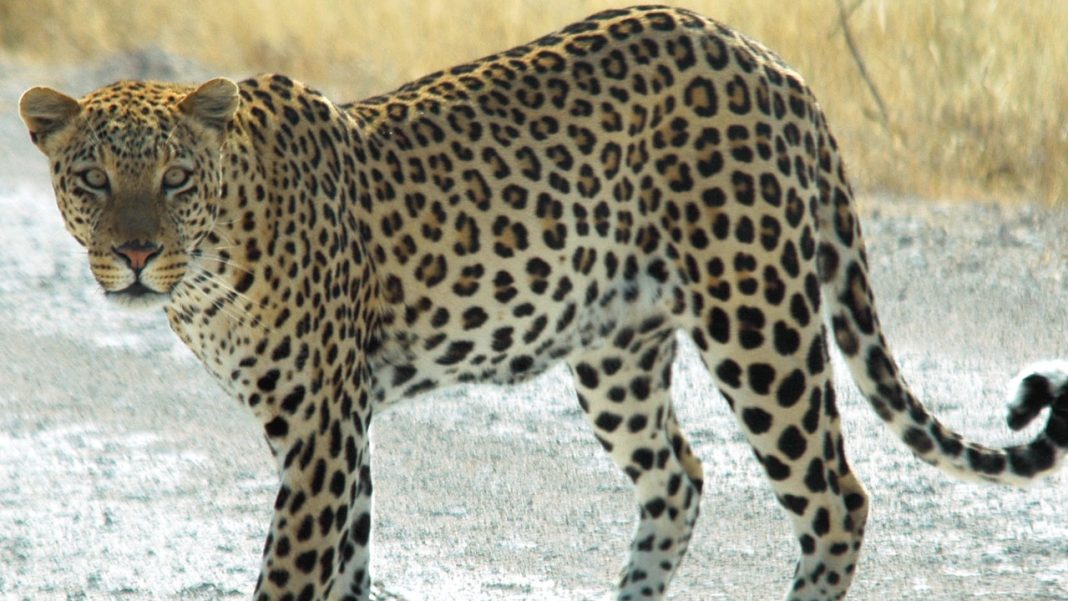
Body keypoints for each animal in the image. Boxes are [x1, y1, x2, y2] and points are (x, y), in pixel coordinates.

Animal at [19, 5, 1068, 600]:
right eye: (92, 179)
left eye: (175, 178)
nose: (135, 255)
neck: (210, 265)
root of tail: (773, 62)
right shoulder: (337, 430)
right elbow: (347, 563)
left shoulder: (319, 426)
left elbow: (290, 573)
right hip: (615, 349)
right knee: (680, 475)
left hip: (756, 314)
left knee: (834, 494)